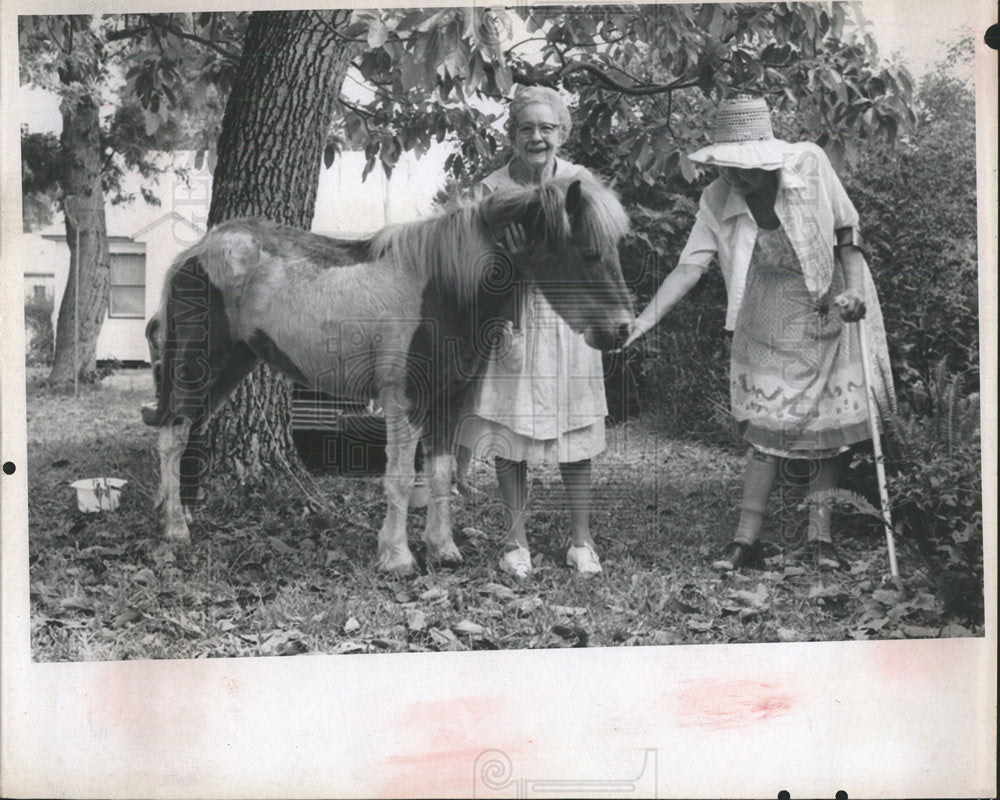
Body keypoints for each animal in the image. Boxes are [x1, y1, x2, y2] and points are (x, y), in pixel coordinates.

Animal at [141, 177, 632, 576]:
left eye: (614, 252)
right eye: (589, 253)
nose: (622, 329)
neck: (442, 288)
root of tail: (193, 254)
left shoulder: (448, 401)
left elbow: (440, 473)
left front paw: (442, 550)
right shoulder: (405, 399)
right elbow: (399, 477)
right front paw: (397, 557)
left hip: (230, 367)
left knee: (192, 431)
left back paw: (182, 513)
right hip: (198, 365)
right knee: (172, 436)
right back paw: (175, 529)